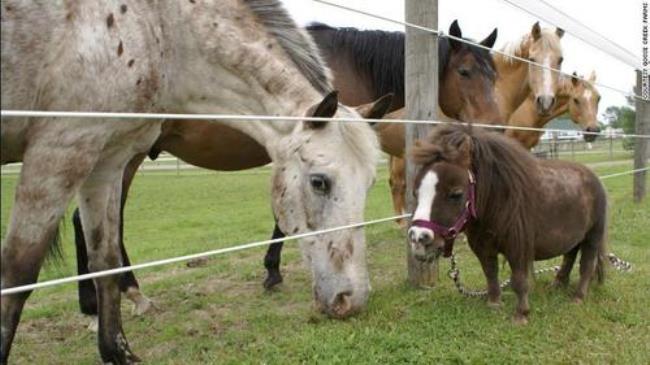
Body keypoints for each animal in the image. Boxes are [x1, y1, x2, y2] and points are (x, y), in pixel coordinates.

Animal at [408, 123, 604, 322]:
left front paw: (521, 314)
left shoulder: (517, 249)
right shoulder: (483, 248)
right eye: (415, 193)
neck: (498, 202)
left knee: (587, 265)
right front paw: (494, 303)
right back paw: (558, 283)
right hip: (574, 237)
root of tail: (592, 177)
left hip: (592, 236)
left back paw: (579, 297)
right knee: (569, 256)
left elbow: (518, 280)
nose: (418, 239)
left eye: (455, 194)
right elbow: (490, 273)